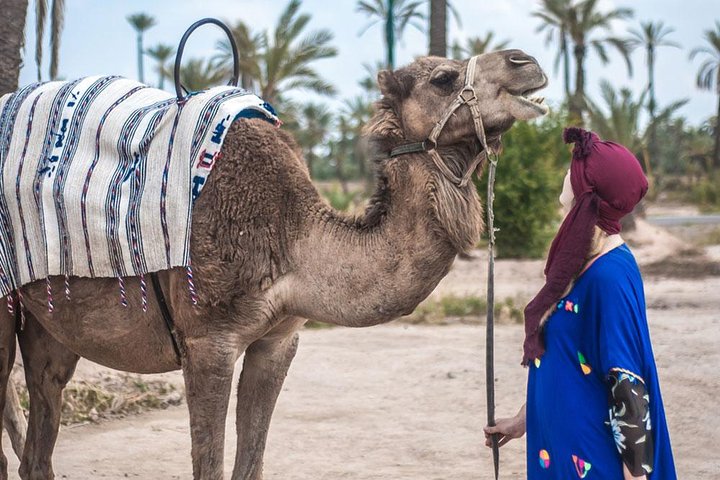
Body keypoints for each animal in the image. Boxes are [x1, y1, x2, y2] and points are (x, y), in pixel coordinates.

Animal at [0, 50, 547, 479]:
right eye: (444, 78)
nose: (526, 63)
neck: (294, 240)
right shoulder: (209, 342)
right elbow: (210, 466)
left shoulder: (279, 339)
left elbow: (251, 464)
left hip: (51, 323)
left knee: (39, 436)